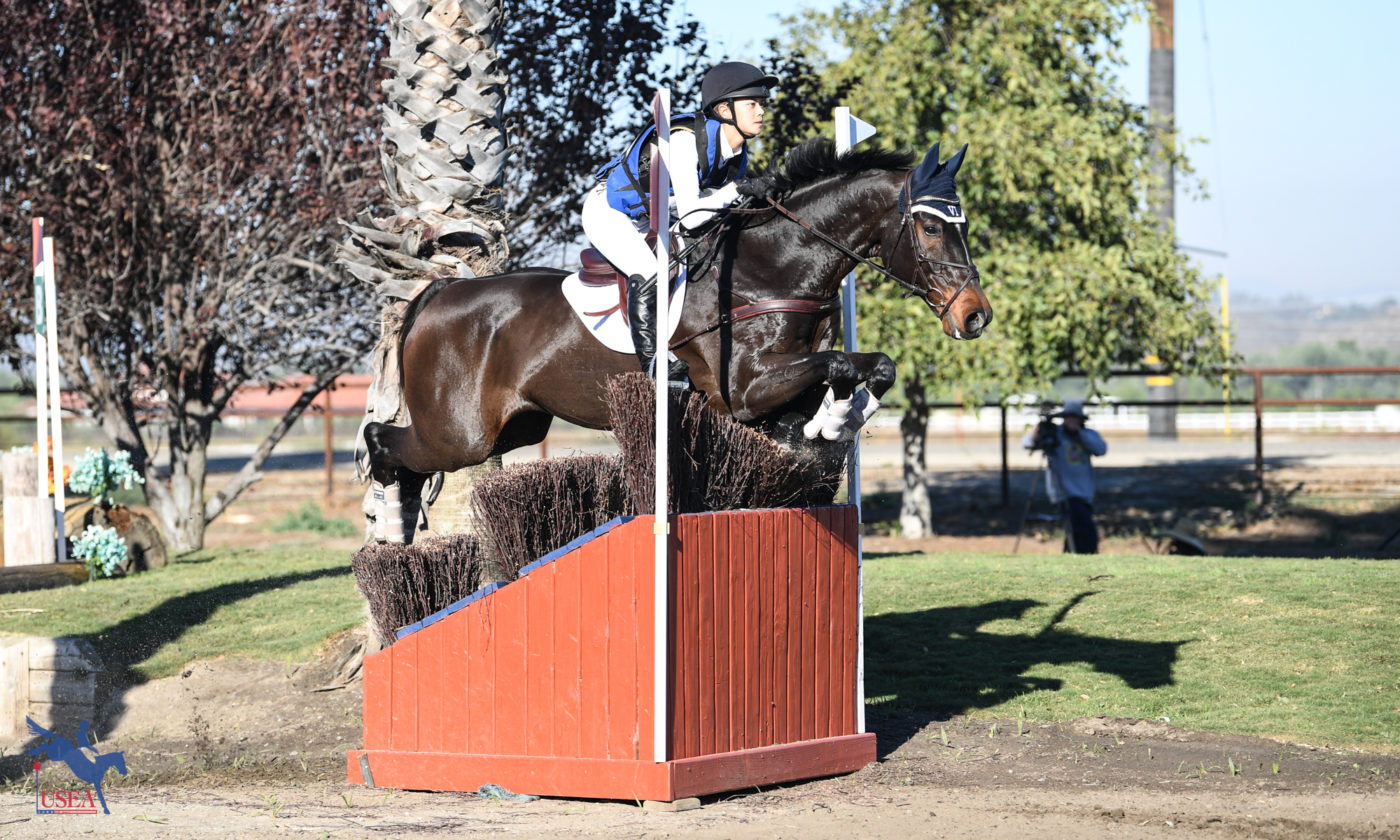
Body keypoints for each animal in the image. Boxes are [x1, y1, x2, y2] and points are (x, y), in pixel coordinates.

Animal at [366, 138, 991, 540]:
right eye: (930, 226)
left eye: (962, 225)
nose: (976, 317)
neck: (773, 266)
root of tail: (438, 294)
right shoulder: (744, 393)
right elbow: (839, 365)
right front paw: (832, 421)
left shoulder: (787, 380)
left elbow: (870, 367)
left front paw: (832, 422)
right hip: (461, 433)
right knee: (383, 440)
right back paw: (390, 524)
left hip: (517, 427)